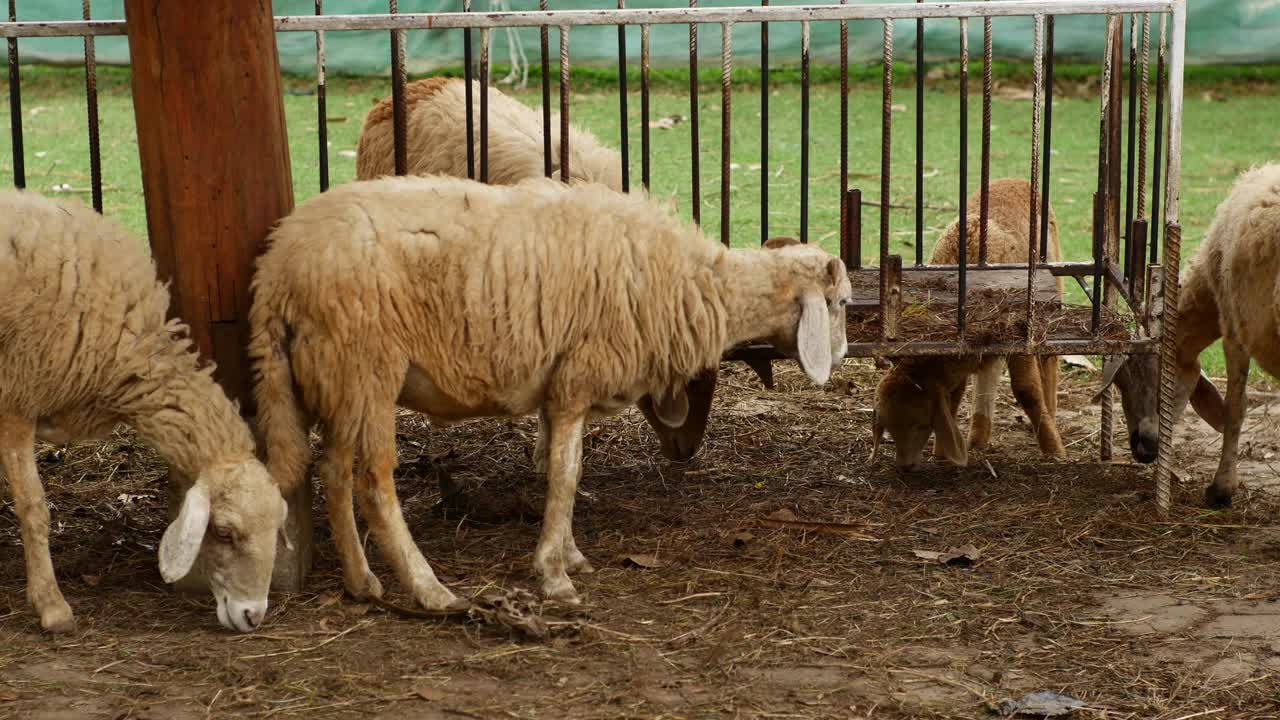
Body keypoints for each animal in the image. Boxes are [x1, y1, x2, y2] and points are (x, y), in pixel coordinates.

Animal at [248, 175, 849, 604]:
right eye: (841, 302)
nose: (841, 353)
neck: (699, 283)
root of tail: (277, 266)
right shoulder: (577, 378)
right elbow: (564, 476)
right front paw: (554, 575)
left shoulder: (565, 386)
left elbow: (569, 470)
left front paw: (571, 554)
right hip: (367, 366)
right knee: (373, 482)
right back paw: (428, 588)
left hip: (336, 376)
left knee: (332, 471)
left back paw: (361, 582)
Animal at [870, 178, 1070, 471]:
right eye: (889, 430)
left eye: (921, 424)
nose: (905, 467)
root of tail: (1015, 180)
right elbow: (955, 392)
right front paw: (943, 453)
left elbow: (1026, 391)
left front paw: (1055, 451)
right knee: (990, 369)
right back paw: (978, 436)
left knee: (1049, 359)